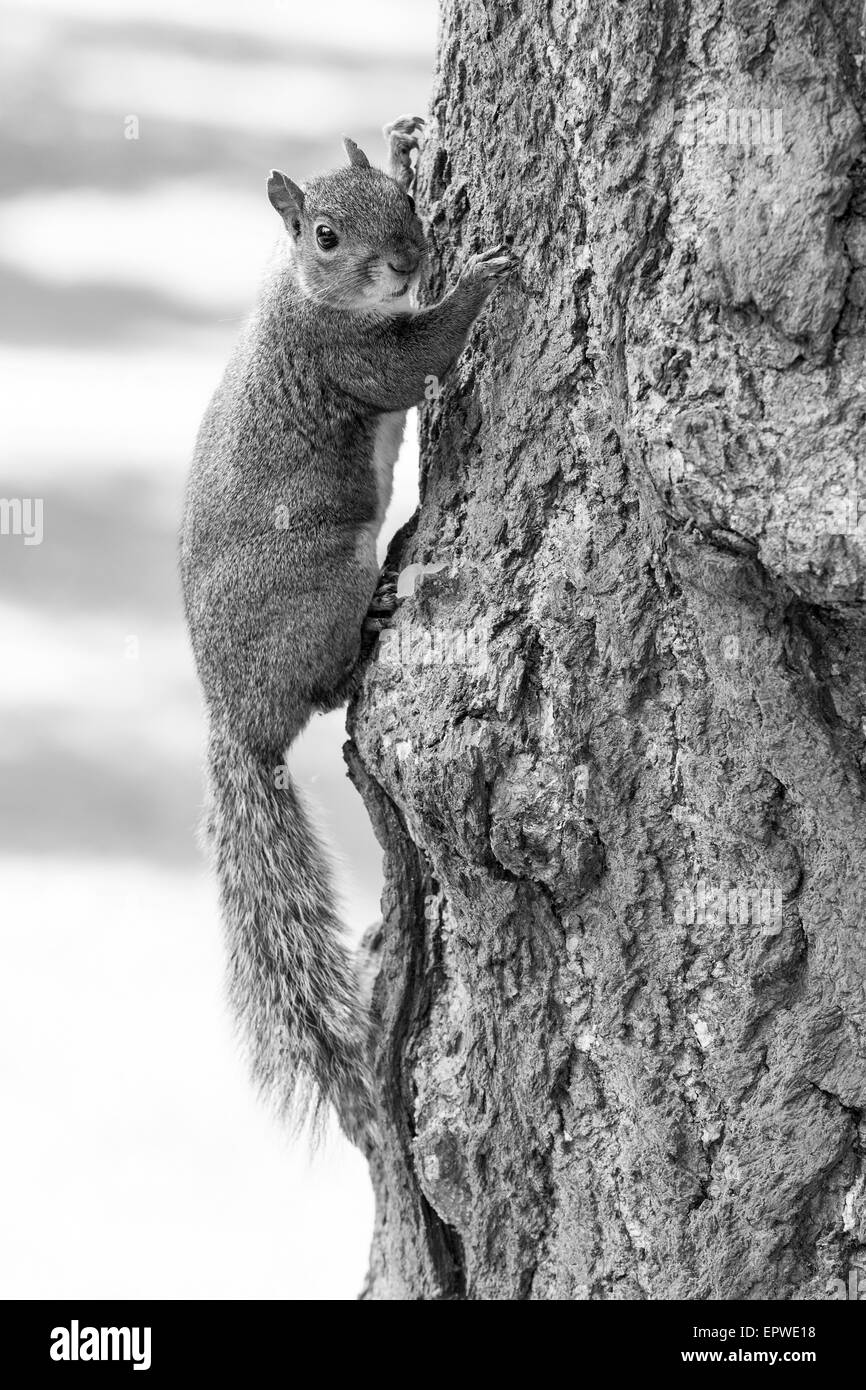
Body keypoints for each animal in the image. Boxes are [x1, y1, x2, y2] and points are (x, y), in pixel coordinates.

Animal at [179, 116, 516, 1148]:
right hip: (324, 575)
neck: (303, 289)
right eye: (324, 236)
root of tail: (237, 721)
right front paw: (478, 280)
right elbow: (417, 356)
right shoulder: (342, 354)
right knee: (329, 687)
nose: (409, 257)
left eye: (404, 207)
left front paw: (407, 146)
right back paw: (373, 618)